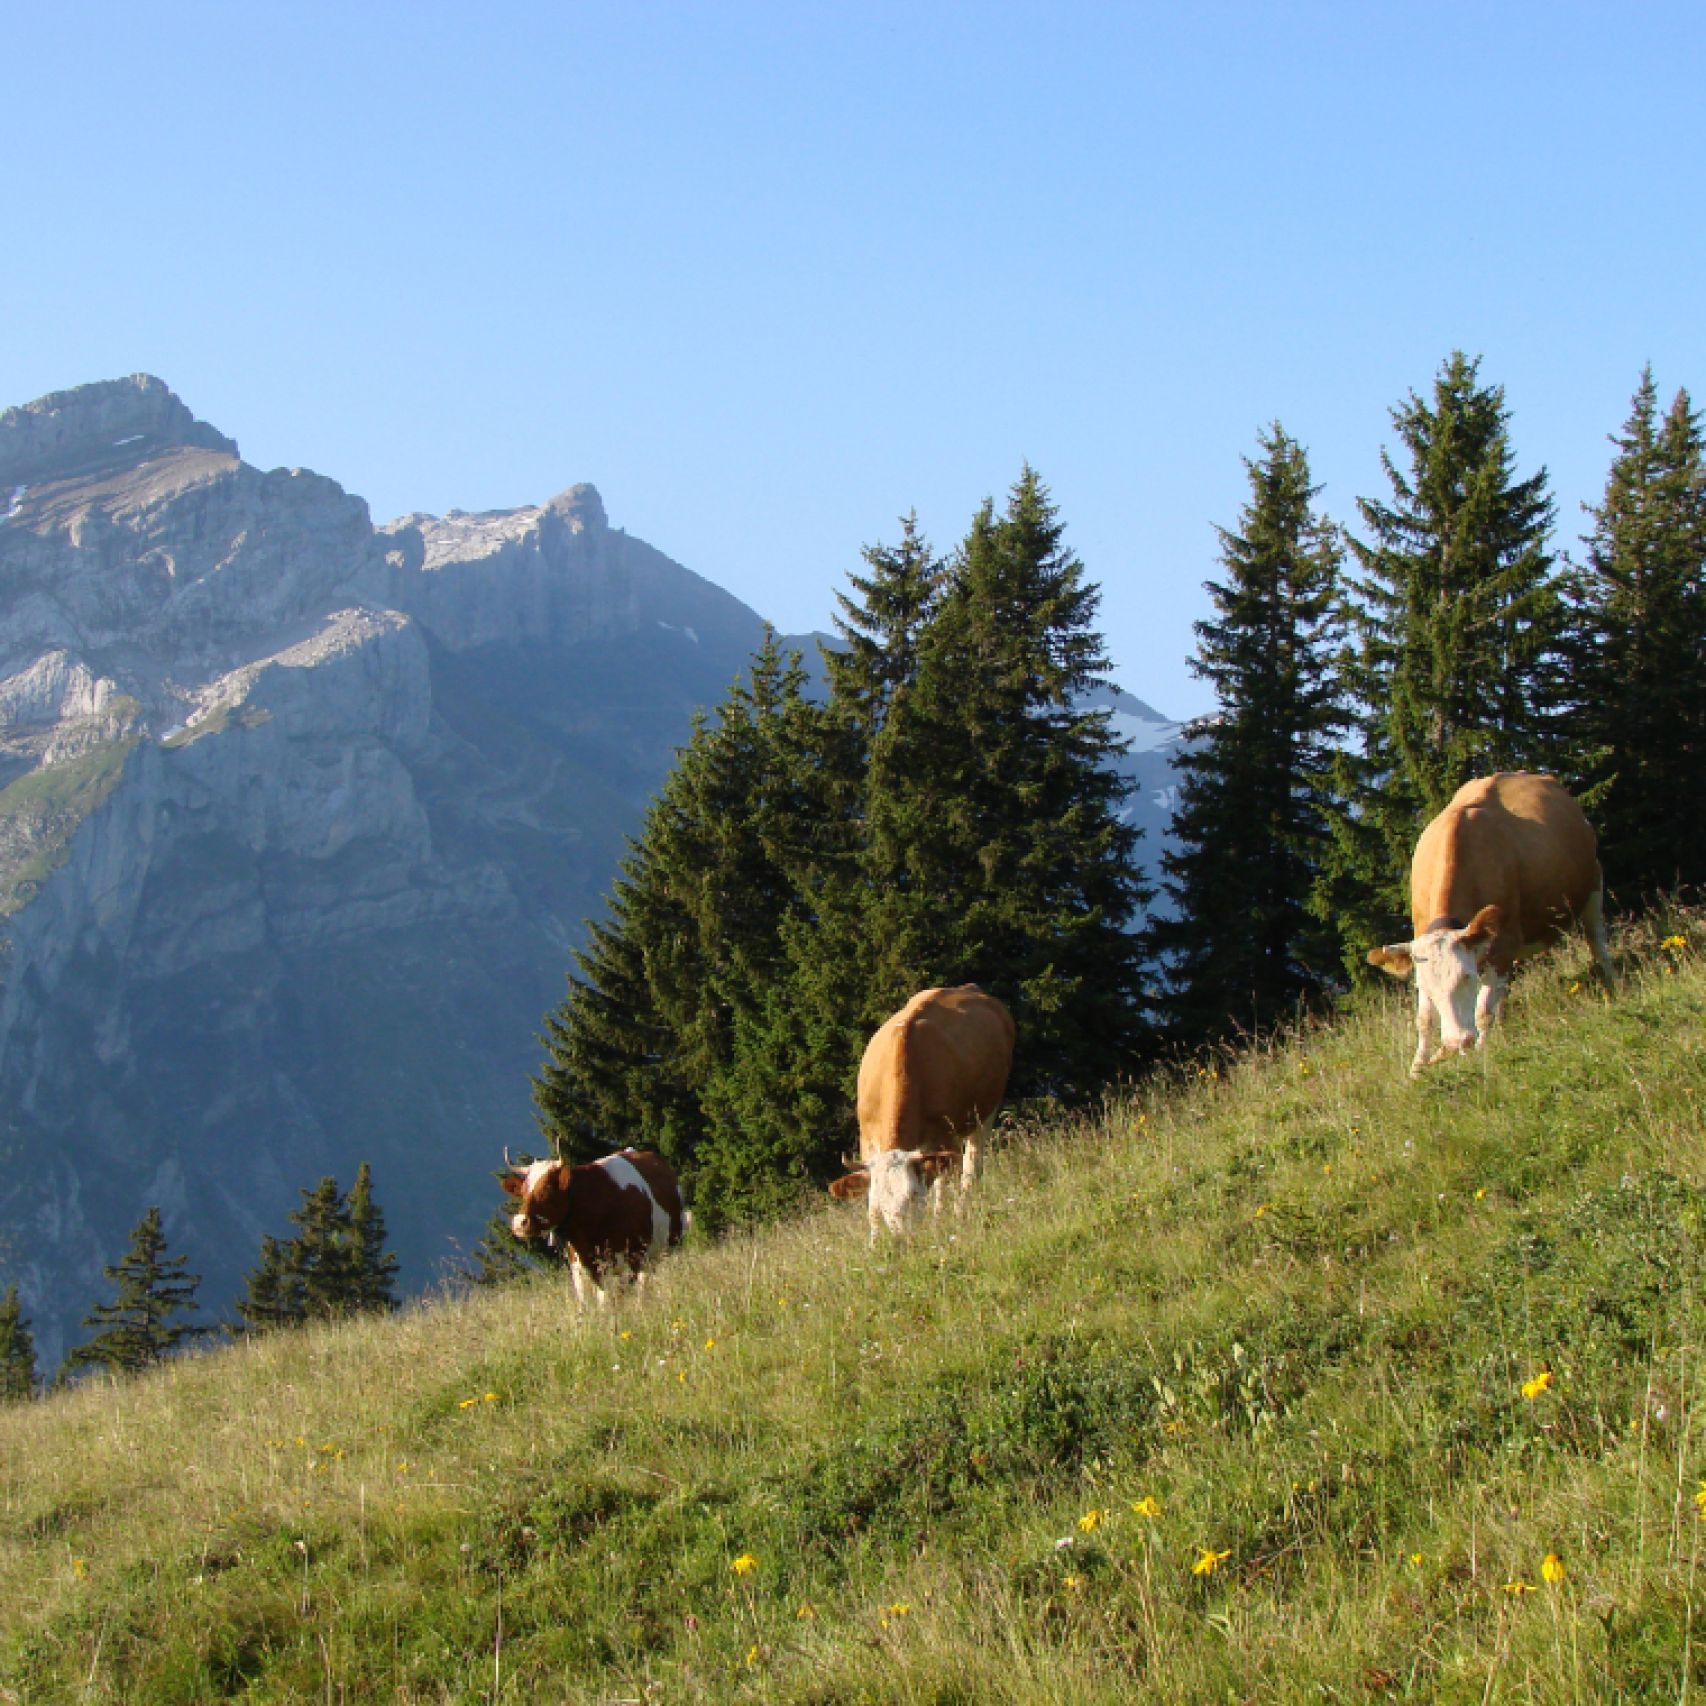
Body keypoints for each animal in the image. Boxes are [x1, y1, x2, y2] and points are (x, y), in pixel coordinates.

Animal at [498, 1146, 682, 1303]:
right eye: (523, 1192)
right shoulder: (579, 1270)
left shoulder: (629, 1260)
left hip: (667, 1248)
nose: (519, 1222)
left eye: (548, 1190)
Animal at [825, 989, 1009, 1241]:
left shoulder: (945, 1138)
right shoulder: (868, 1139)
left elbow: (941, 1190)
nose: (902, 1240)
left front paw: (940, 1227)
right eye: (882, 1203)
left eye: (912, 1195)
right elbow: (871, 1209)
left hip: (986, 1113)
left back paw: (963, 1210)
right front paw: (874, 1243)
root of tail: (970, 988)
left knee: (972, 1167)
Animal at [1357, 777, 1610, 1078]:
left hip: (1593, 885)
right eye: (1422, 987)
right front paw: (1417, 1069)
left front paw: (1480, 1055)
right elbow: (1425, 1019)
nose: (1454, 1043)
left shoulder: (1504, 943)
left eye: (1467, 977)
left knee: (1598, 944)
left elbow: (1482, 1012)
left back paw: (1612, 994)